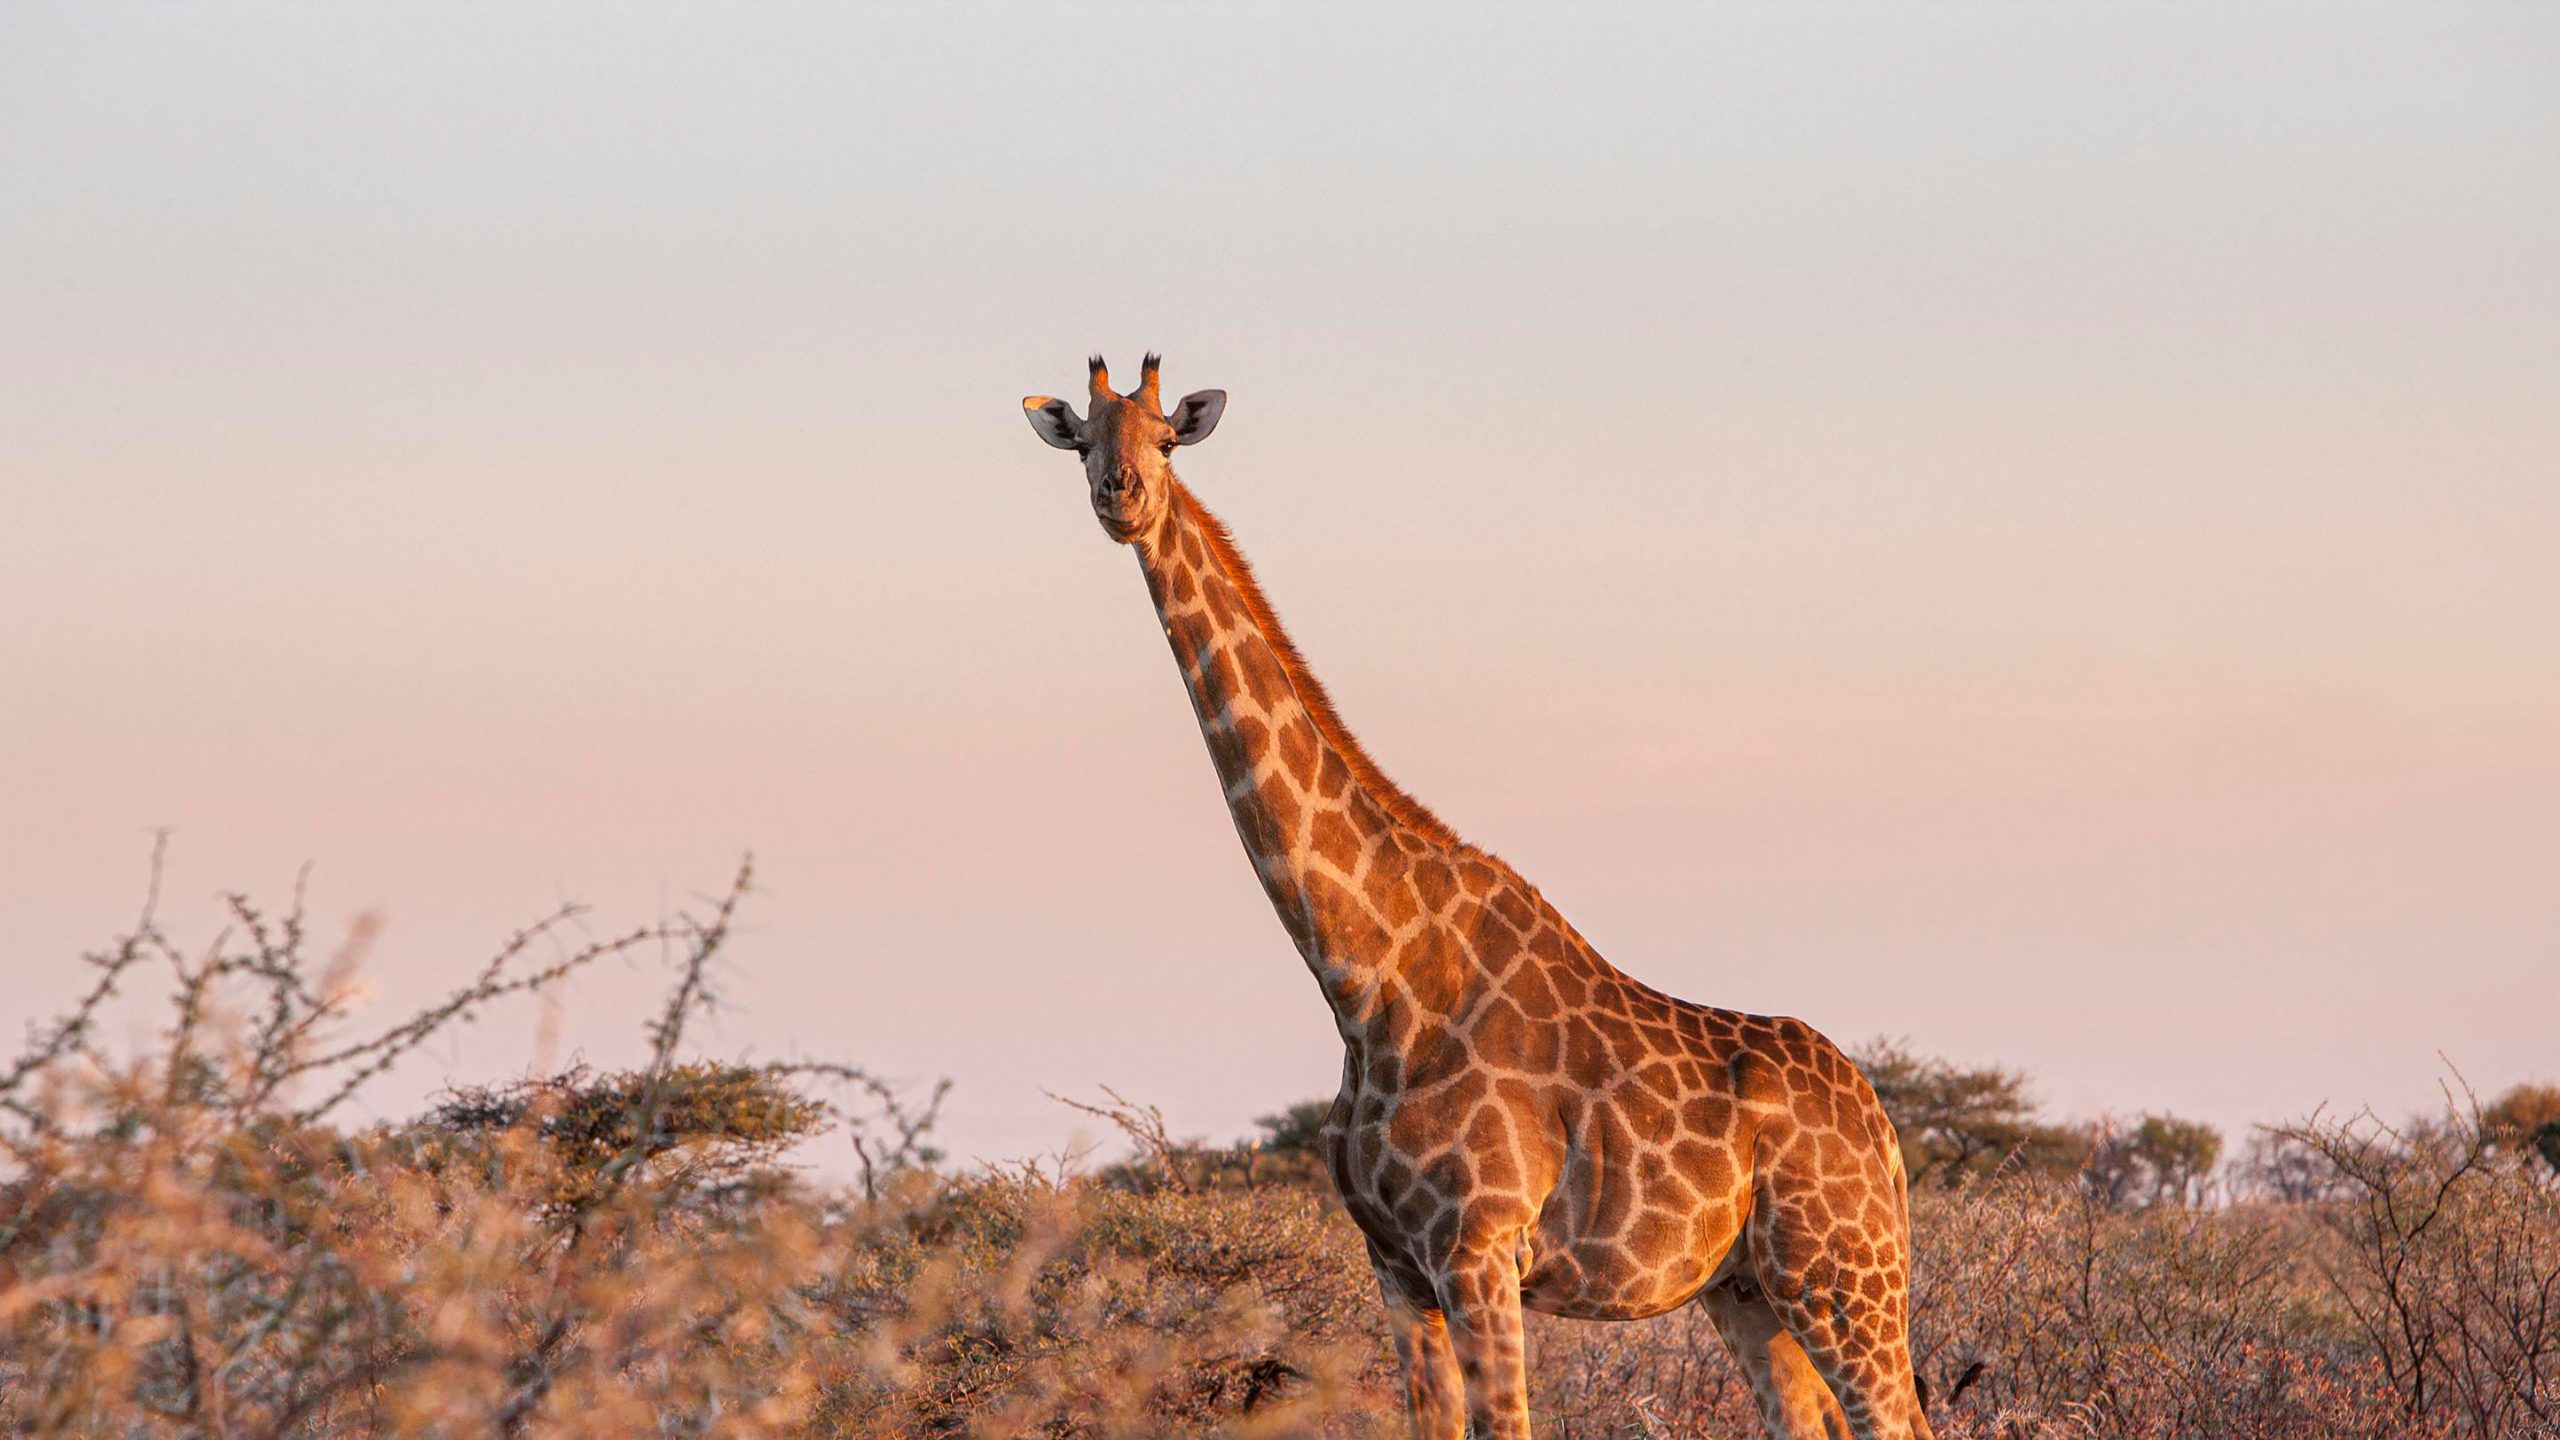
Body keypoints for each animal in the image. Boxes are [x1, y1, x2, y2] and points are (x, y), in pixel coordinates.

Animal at [1023, 355, 1936, 1440]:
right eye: (1085, 440)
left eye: (1167, 439)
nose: (1120, 498)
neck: (1364, 976)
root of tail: (1884, 1133)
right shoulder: (1395, 1264)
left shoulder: (1478, 1247)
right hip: (1747, 1286)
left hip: (1842, 1272)